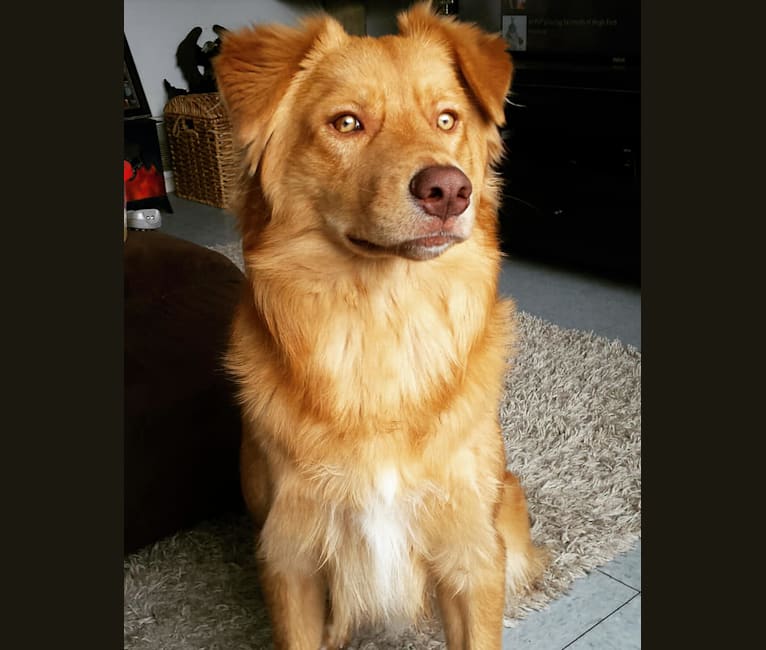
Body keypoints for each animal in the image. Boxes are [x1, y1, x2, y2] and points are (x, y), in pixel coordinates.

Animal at [213, 2, 548, 644]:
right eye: (347, 123)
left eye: (446, 119)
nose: (449, 190)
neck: (383, 322)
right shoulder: (290, 557)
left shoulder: (471, 553)